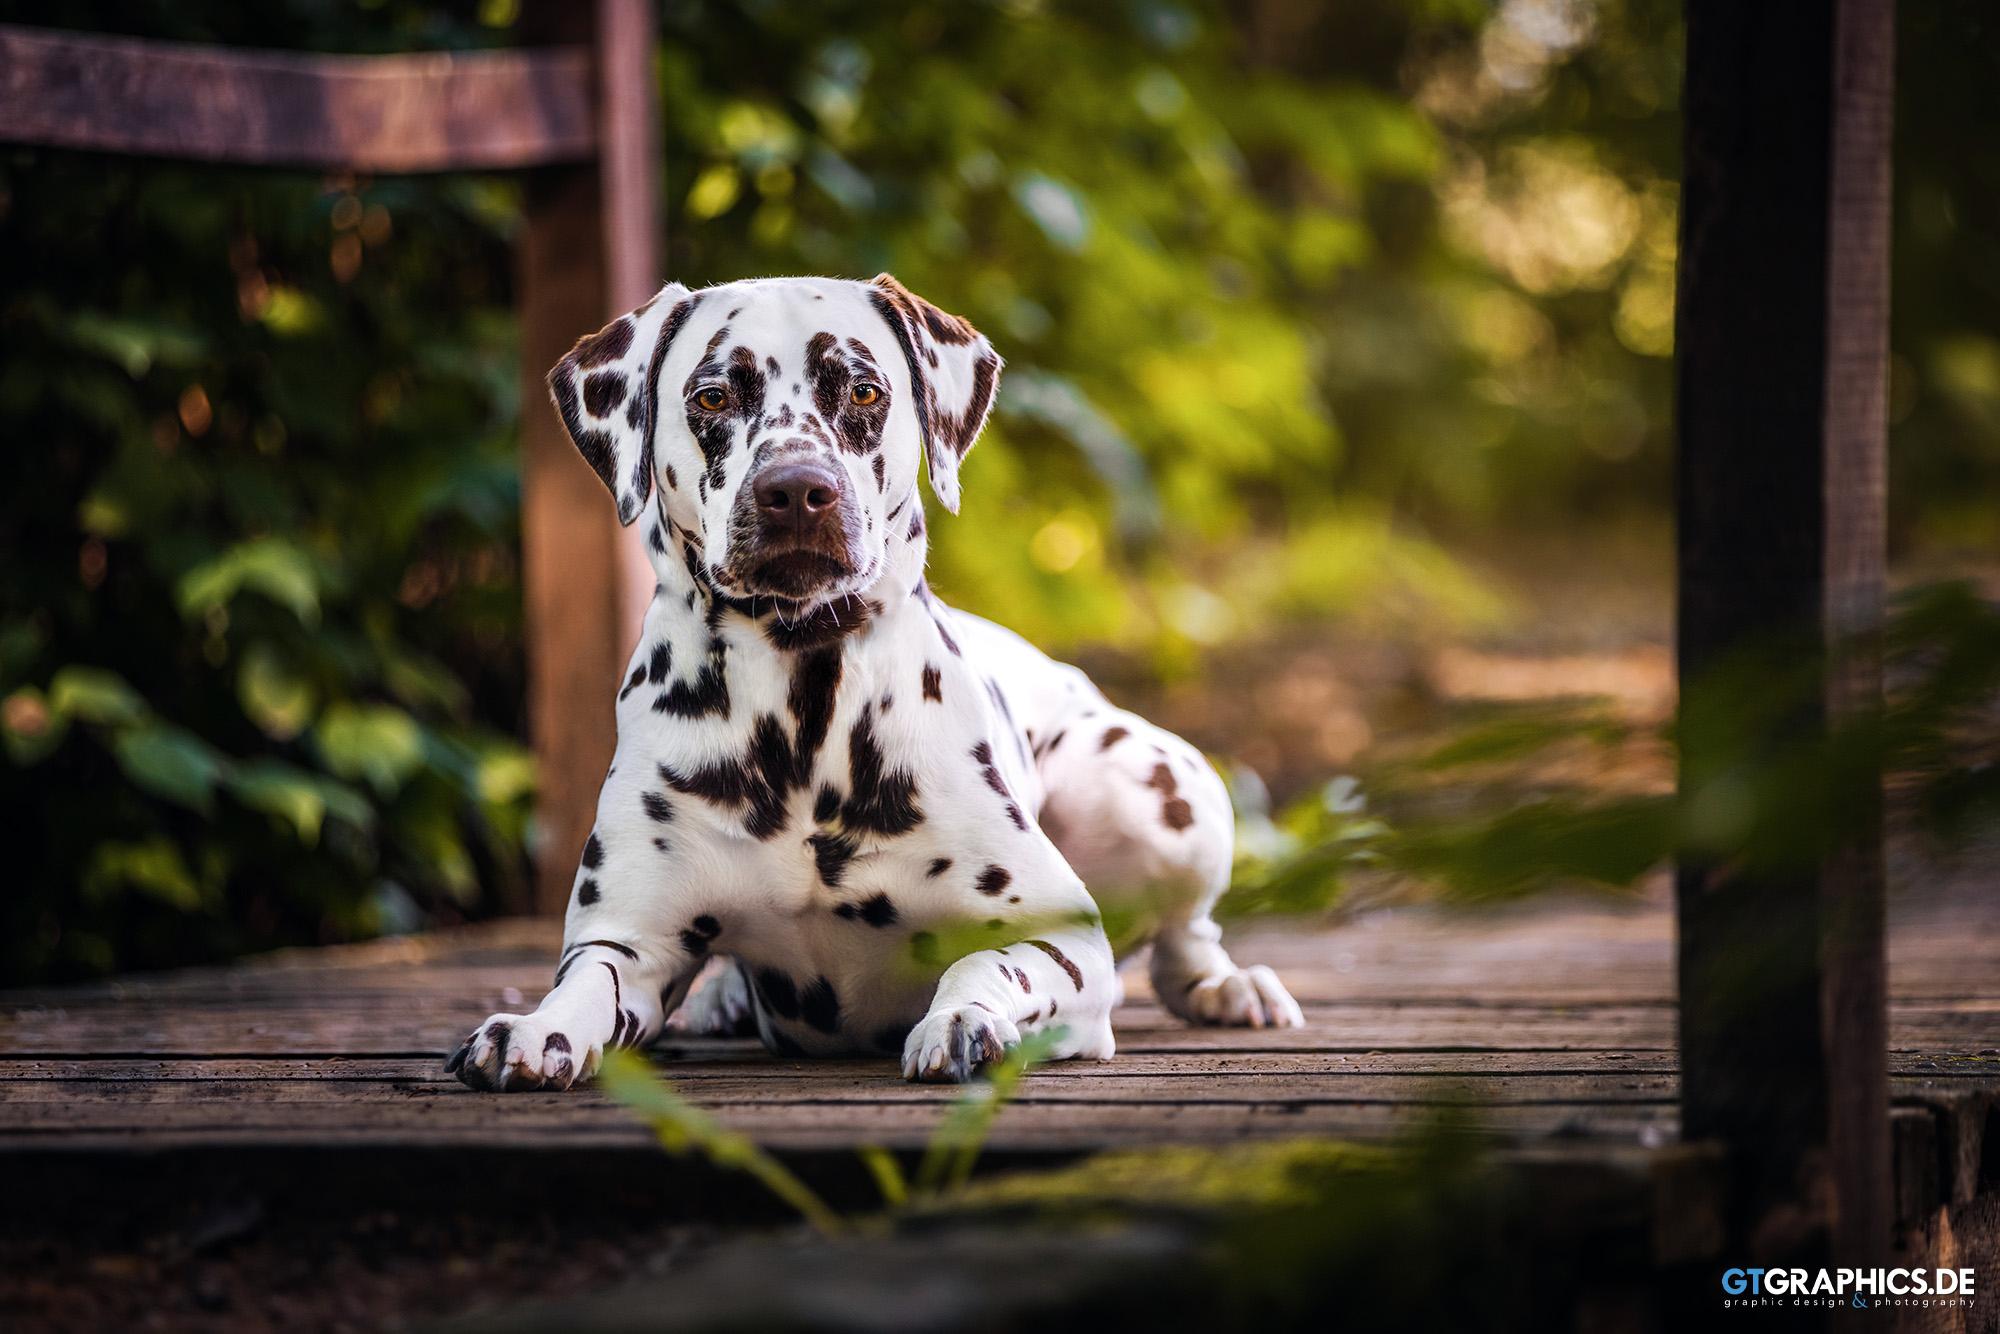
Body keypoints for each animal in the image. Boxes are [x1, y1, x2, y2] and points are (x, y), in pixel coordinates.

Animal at [446, 276, 1304, 1088]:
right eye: (713, 396)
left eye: (861, 391)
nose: (796, 489)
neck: (803, 709)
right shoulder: (627, 940)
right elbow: (584, 986)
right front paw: (536, 1030)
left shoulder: (1062, 939)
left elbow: (987, 961)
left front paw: (963, 1020)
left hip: (1154, 789)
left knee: (1186, 939)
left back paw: (1230, 987)